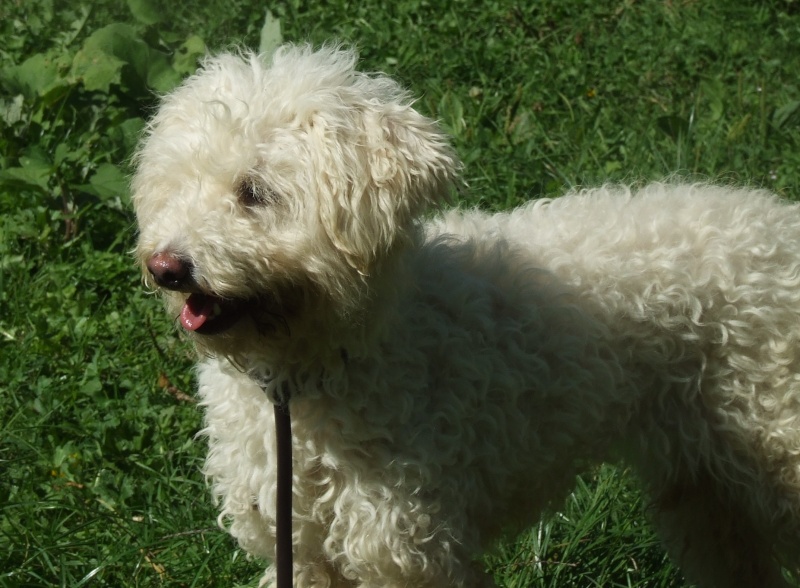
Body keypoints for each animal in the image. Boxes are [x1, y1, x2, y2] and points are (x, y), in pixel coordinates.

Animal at [131, 43, 800, 584]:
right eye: (176, 187)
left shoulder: (407, 552)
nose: (166, 266)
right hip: (708, 493)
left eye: (254, 193)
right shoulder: (301, 551)